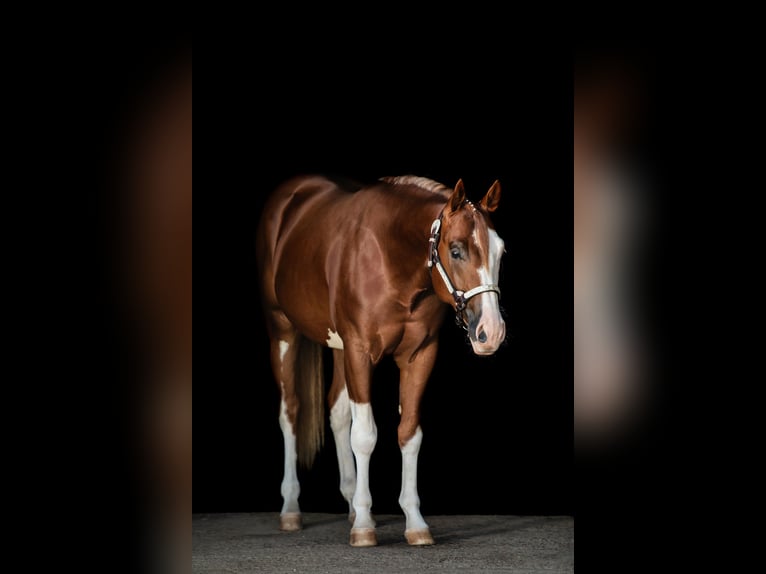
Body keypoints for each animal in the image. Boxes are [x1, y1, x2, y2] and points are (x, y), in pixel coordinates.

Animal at [258, 176, 508, 548]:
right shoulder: (361, 352)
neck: (392, 260)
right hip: (283, 331)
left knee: (336, 412)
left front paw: (414, 523)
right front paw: (364, 526)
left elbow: (409, 433)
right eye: (456, 250)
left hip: (338, 346)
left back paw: (349, 502)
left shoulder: (419, 355)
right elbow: (364, 436)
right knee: (290, 412)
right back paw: (291, 509)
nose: (490, 332)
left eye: (500, 251)